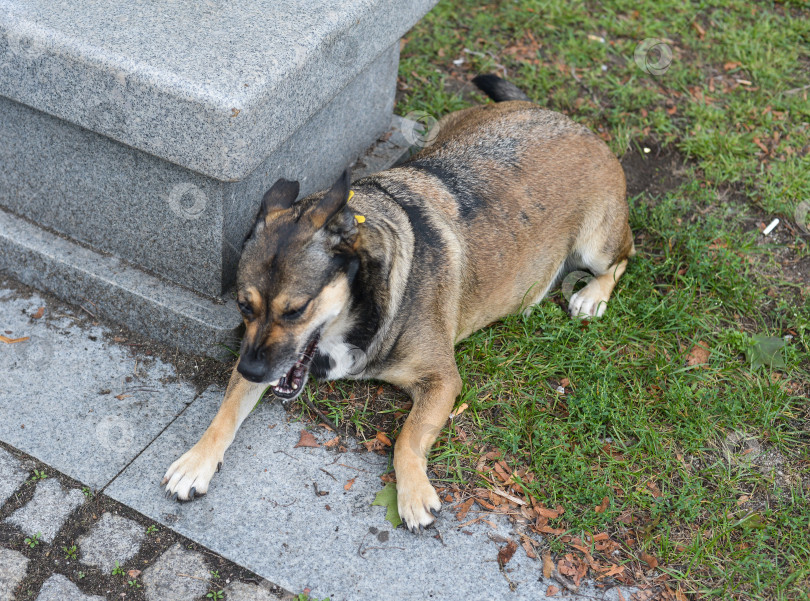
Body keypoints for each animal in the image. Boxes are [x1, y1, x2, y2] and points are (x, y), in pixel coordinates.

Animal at [161, 75, 636, 528]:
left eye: (296, 310)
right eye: (244, 307)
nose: (252, 370)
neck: (361, 304)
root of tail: (567, 120)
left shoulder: (442, 379)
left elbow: (407, 438)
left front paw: (413, 493)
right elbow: (226, 410)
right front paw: (196, 460)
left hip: (597, 245)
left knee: (625, 256)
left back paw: (591, 296)